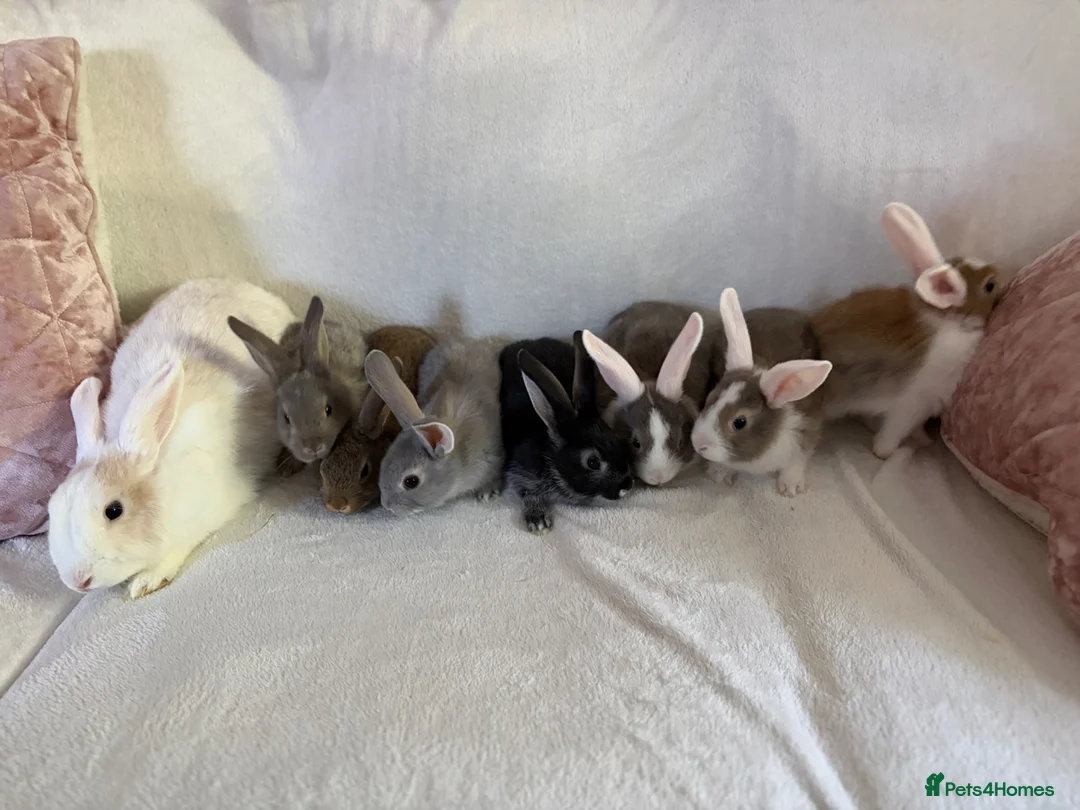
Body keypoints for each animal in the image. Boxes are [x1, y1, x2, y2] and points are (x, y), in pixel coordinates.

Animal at [499, 332, 634, 534]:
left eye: (617, 440)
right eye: (593, 463)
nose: (627, 485)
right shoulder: (522, 470)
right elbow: (528, 493)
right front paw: (539, 521)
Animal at [691, 288, 833, 496]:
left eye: (739, 422)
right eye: (709, 398)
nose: (698, 444)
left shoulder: (806, 432)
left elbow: (797, 461)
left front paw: (791, 488)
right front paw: (719, 474)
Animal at [810, 201, 1004, 460]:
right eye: (989, 286)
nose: (1001, 273)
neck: (950, 321)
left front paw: (922, 441)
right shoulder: (911, 405)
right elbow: (893, 434)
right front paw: (890, 452)